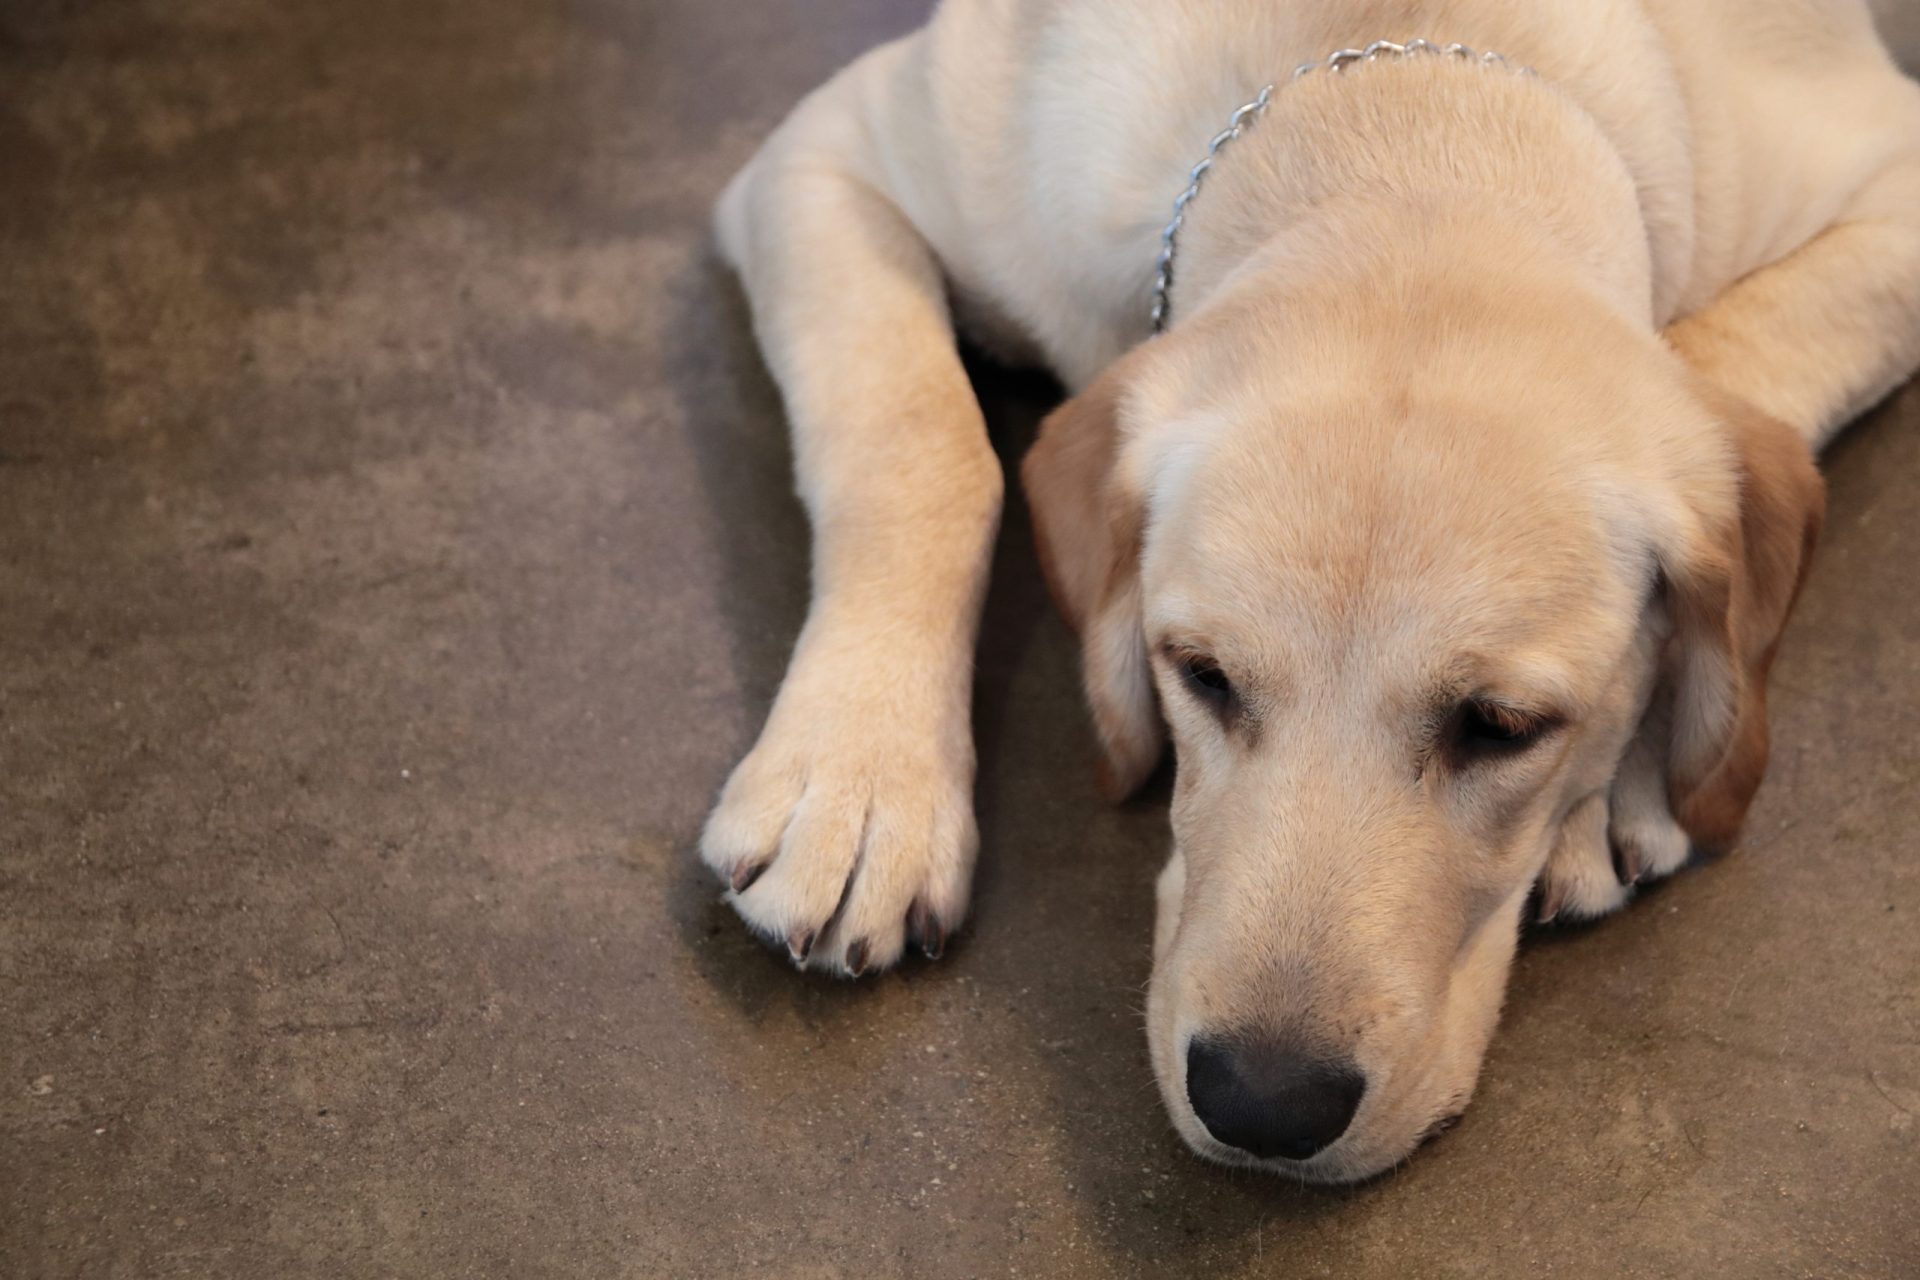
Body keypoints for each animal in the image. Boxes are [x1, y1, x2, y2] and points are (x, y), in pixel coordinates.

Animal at [702, 0, 1920, 1182]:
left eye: (1502, 726)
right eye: (1201, 675)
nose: (1263, 1103)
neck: (1401, 115)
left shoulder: (1890, 179)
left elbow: (1721, 352)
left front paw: (1628, 773)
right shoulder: (826, 156)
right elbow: (921, 439)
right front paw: (858, 780)